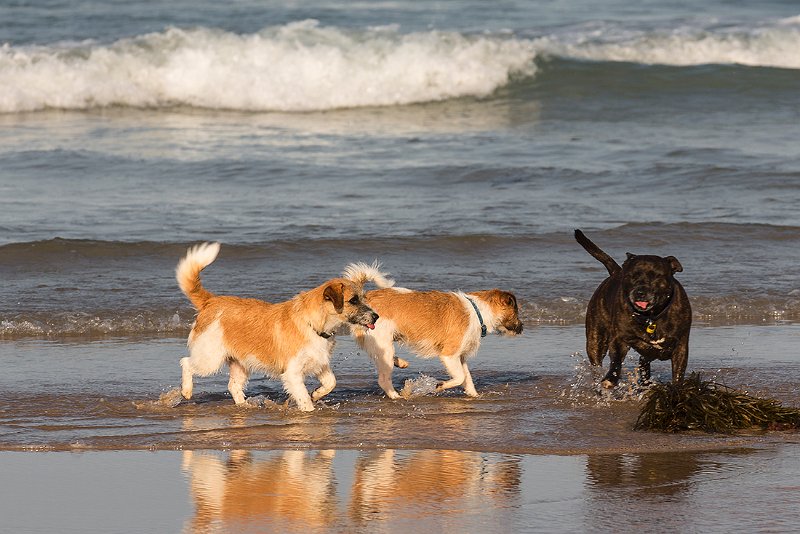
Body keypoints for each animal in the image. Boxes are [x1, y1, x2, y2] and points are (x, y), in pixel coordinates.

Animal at [178, 245, 378, 412]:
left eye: (363, 298)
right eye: (353, 300)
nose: (376, 316)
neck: (312, 324)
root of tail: (211, 301)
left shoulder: (319, 363)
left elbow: (331, 382)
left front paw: (316, 394)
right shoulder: (293, 373)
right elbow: (304, 399)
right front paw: (309, 410)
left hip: (240, 363)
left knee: (233, 386)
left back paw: (244, 406)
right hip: (210, 359)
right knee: (186, 362)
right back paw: (187, 391)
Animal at [342, 264, 520, 402]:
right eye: (516, 312)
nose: (521, 327)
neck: (477, 311)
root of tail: (366, 298)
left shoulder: (460, 357)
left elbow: (467, 378)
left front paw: (474, 395)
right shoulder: (449, 355)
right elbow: (460, 377)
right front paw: (440, 386)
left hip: (383, 345)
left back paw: (400, 362)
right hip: (383, 343)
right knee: (383, 379)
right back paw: (397, 396)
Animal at [572, 230, 692, 390]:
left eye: (656, 276)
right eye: (631, 276)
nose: (640, 292)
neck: (651, 318)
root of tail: (616, 272)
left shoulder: (681, 346)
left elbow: (678, 373)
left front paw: (676, 389)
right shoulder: (620, 340)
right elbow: (616, 362)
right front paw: (610, 379)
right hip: (595, 339)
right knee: (597, 362)